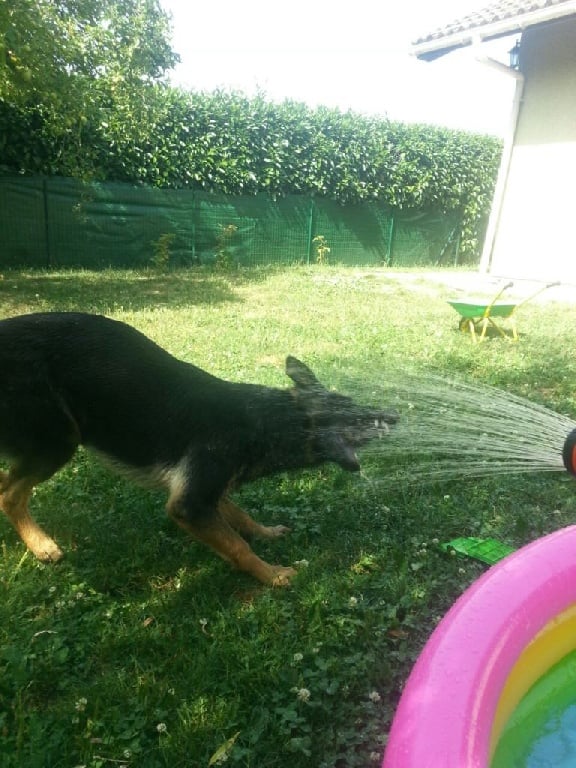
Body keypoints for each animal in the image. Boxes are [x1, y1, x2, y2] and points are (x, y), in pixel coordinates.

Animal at [0, 310, 396, 584]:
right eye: (354, 415)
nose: (394, 418)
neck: (265, 420)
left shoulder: (209, 490)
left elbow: (240, 518)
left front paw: (265, 533)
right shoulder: (189, 503)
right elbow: (237, 545)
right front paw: (272, 575)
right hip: (57, 441)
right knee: (10, 493)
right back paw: (42, 545)